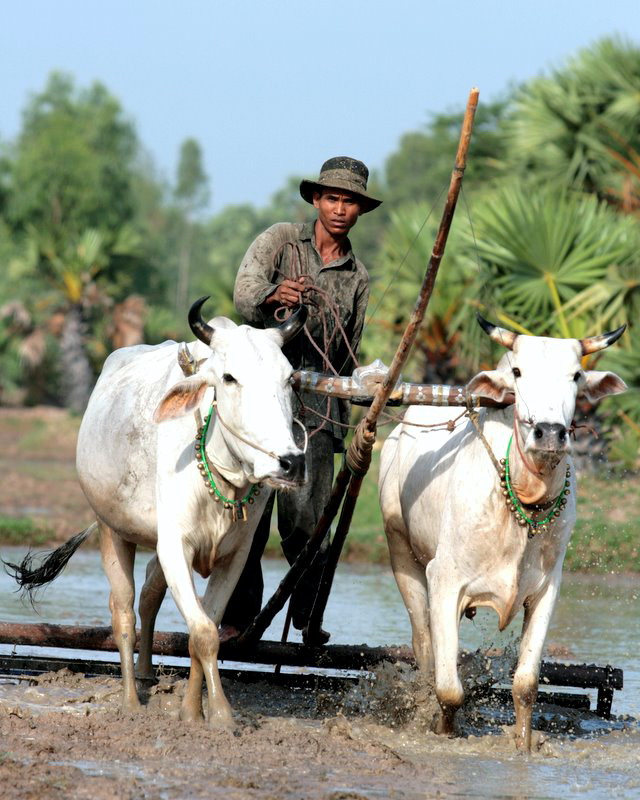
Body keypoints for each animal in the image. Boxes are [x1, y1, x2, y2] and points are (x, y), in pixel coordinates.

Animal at [7, 298, 308, 724]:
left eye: (289, 379)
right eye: (229, 378)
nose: (289, 462)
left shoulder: (234, 555)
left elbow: (206, 628)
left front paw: (193, 712)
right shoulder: (175, 546)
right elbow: (202, 632)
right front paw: (219, 713)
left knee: (149, 594)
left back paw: (148, 674)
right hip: (112, 529)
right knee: (123, 612)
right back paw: (132, 700)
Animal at [380, 318, 624, 752]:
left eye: (576, 375)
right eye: (518, 372)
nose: (549, 433)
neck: (525, 498)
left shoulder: (546, 590)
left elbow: (525, 685)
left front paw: (523, 745)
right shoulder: (444, 580)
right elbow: (449, 690)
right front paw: (443, 731)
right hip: (401, 553)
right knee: (424, 646)